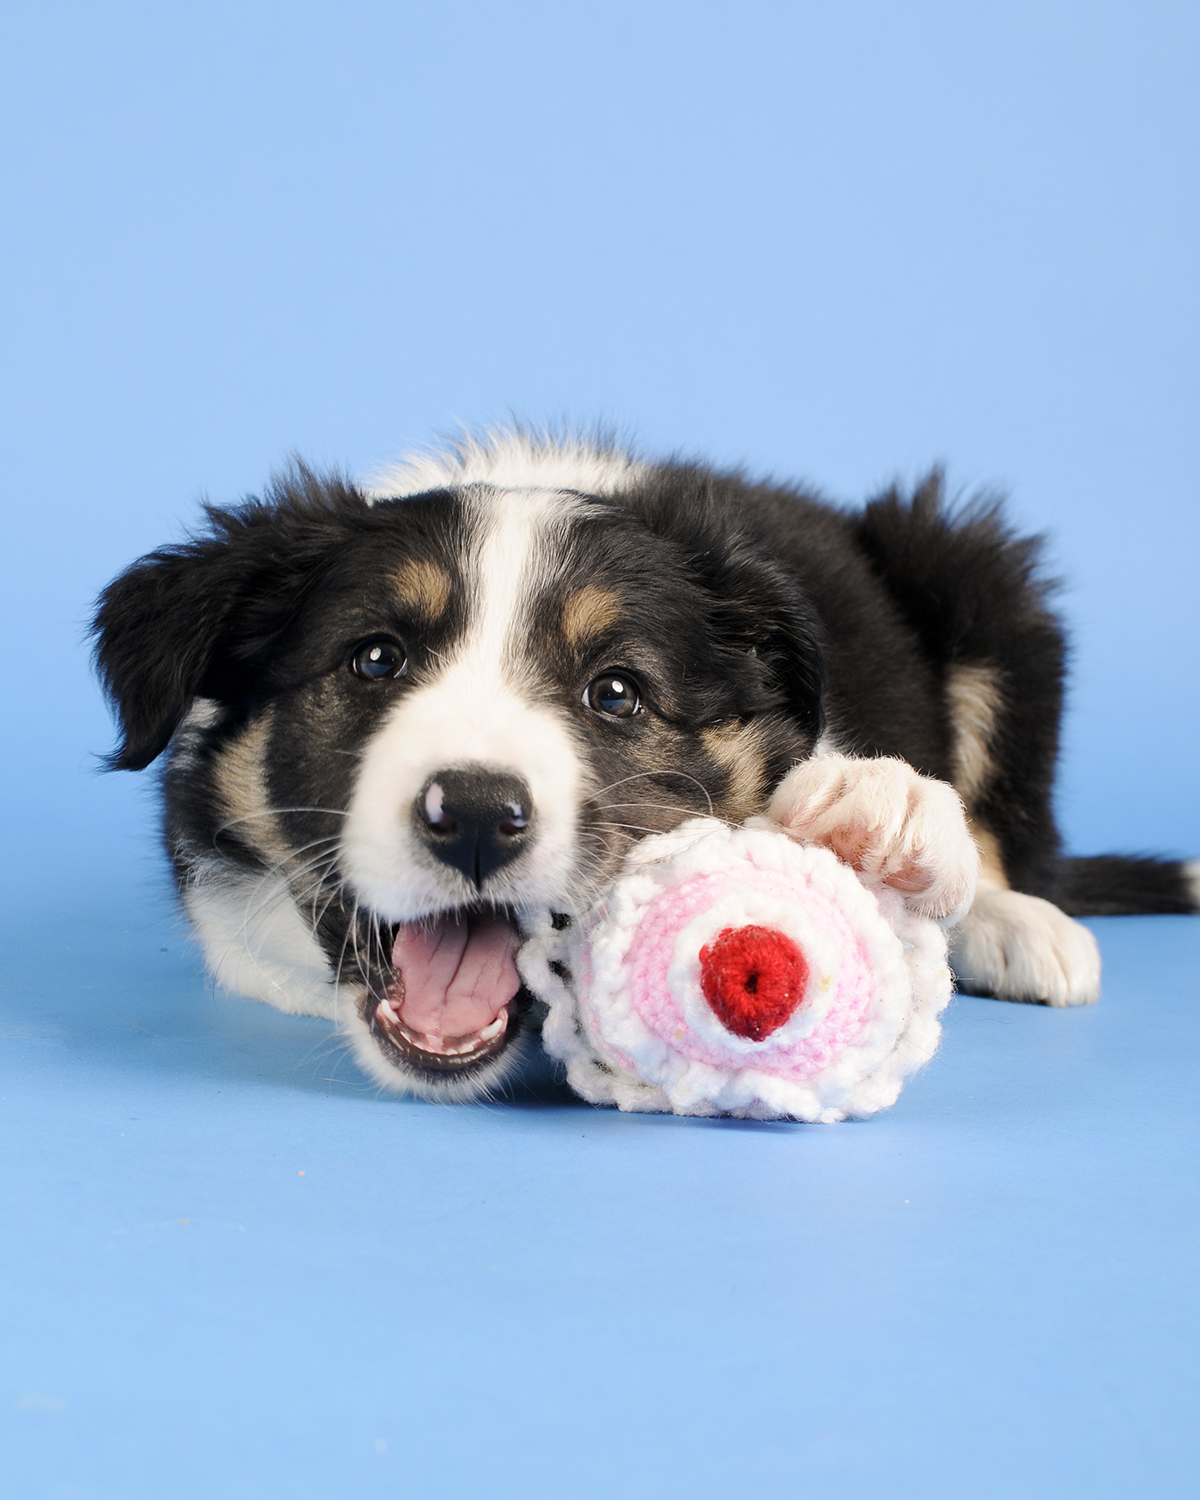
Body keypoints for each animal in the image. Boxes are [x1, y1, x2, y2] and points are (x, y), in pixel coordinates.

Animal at [93, 429, 1200, 1098]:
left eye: (615, 693)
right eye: (374, 660)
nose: (477, 814)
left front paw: (876, 802)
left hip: (979, 579)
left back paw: (1019, 923)